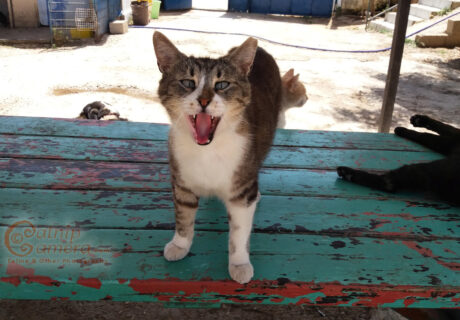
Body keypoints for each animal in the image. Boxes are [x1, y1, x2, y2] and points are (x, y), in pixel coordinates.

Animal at [153, 31, 284, 284]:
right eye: (188, 82)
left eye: (222, 84)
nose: (204, 101)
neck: (207, 151)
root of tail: (261, 51)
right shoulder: (182, 182)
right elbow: (183, 215)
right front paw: (180, 244)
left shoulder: (241, 192)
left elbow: (239, 232)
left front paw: (239, 263)